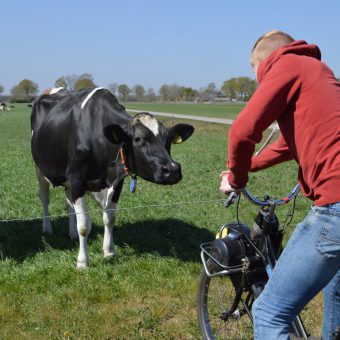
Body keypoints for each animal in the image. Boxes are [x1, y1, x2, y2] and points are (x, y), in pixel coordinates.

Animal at [30, 87, 194, 268]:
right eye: (138, 139)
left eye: (169, 140)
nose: (172, 170)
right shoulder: (76, 180)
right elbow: (84, 225)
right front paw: (82, 261)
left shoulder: (116, 181)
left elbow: (109, 218)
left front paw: (109, 251)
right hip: (39, 168)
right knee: (44, 198)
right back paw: (47, 229)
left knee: (68, 204)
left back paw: (72, 234)